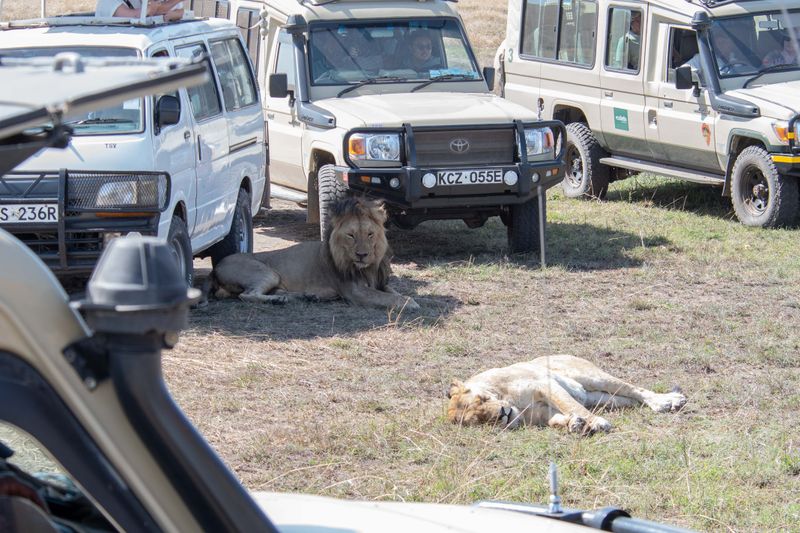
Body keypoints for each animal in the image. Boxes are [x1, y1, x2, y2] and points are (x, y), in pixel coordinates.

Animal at [205, 197, 418, 310]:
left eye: (370, 234)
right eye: (351, 235)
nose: (362, 255)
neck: (368, 268)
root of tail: (215, 268)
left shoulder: (380, 282)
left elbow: (393, 292)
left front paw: (408, 297)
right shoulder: (355, 291)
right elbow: (388, 298)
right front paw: (411, 303)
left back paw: (303, 297)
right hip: (267, 273)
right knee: (247, 295)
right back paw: (279, 300)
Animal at [446, 354, 684, 432]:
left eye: (483, 398)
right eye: (480, 419)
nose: (502, 414)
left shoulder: (545, 385)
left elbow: (571, 406)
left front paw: (596, 423)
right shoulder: (542, 413)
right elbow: (558, 418)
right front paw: (575, 424)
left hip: (591, 377)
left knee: (634, 388)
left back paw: (667, 401)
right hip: (602, 398)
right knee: (628, 399)